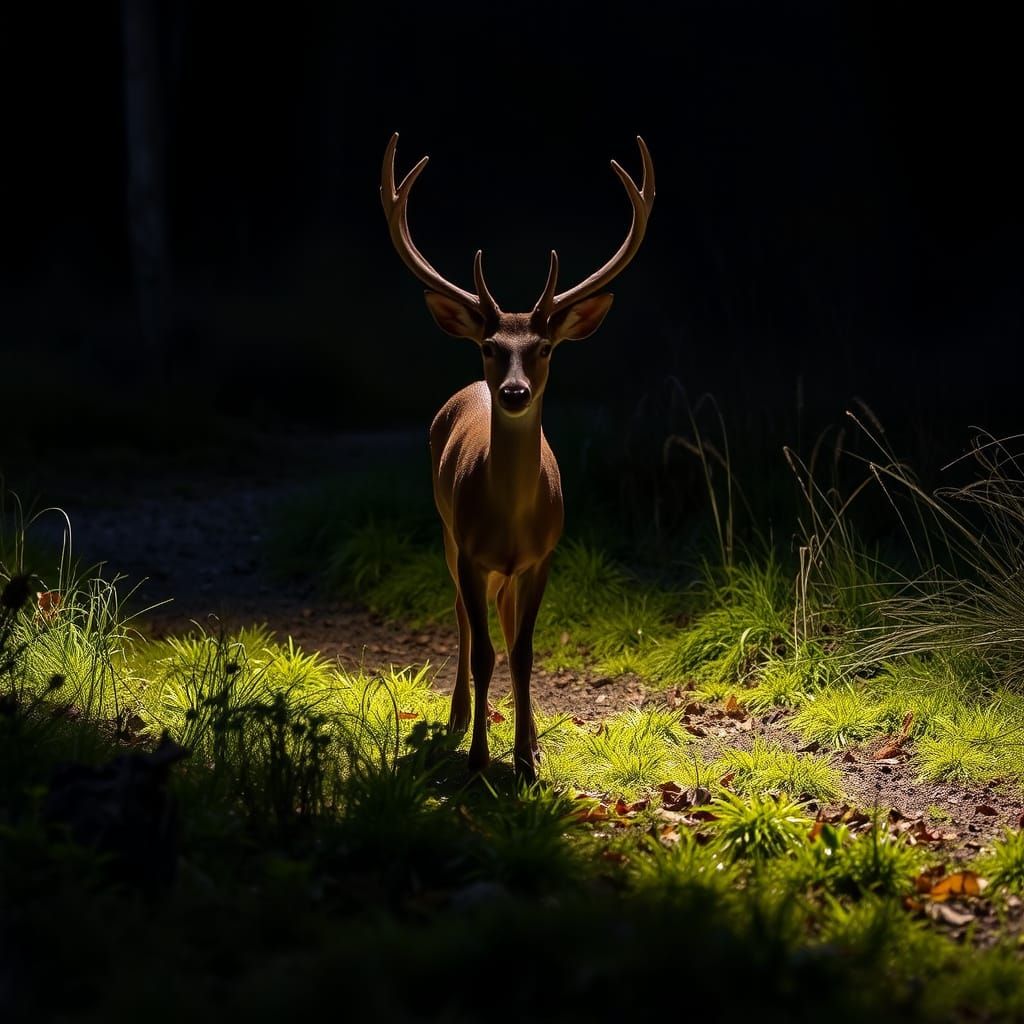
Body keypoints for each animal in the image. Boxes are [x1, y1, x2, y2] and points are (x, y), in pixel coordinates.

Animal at [380, 133, 654, 781]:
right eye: (488, 345)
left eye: (546, 346)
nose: (513, 391)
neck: (509, 520)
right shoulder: (471, 552)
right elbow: (483, 651)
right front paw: (481, 757)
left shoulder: (544, 554)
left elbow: (524, 651)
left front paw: (528, 758)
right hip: (445, 529)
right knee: (462, 617)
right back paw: (458, 719)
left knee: (504, 623)